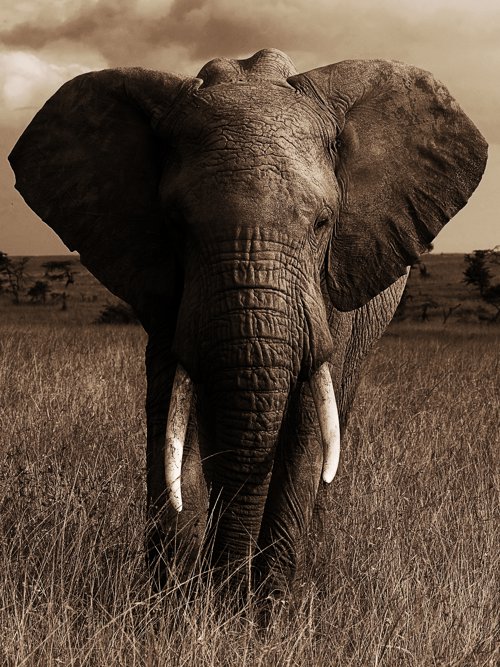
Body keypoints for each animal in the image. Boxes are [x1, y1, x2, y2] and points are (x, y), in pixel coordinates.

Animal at [9, 49, 487, 596]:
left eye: (323, 223)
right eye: (176, 225)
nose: (228, 590)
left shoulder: (332, 288)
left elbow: (304, 429)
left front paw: (267, 609)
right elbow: (171, 416)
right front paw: (173, 603)